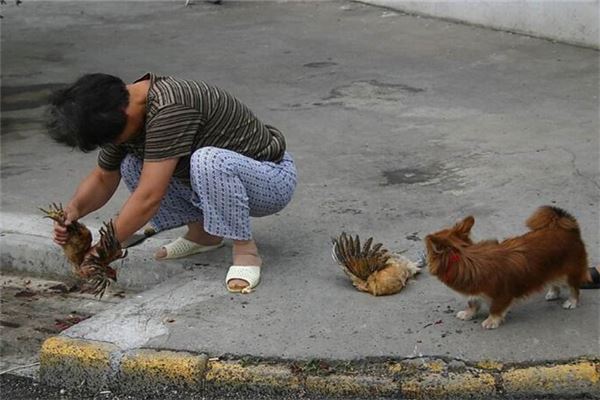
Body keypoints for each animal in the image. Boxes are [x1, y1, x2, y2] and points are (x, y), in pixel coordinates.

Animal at [424, 206, 588, 328]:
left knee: (574, 288)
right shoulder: (474, 292)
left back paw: (572, 302)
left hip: (570, 273)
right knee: (554, 281)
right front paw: (468, 313)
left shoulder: (502, 294)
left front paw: (491, 320)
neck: (466, 258)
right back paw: (553, 292)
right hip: (551, 269)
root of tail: (568, 228)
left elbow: (495, 308)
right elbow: (473, 302)